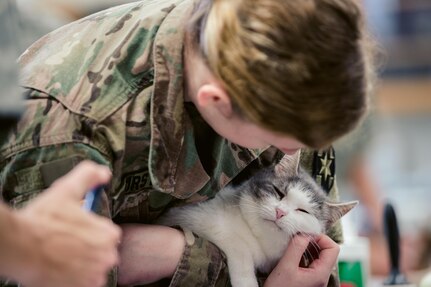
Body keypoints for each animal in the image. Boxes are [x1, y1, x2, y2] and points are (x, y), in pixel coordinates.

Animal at [158, 152, 358, 286]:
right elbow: (237, 244)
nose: (280, 212)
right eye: (279, 192)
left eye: (303, 211)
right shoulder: (191, 213)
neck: (259, 239)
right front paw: (246, 281)